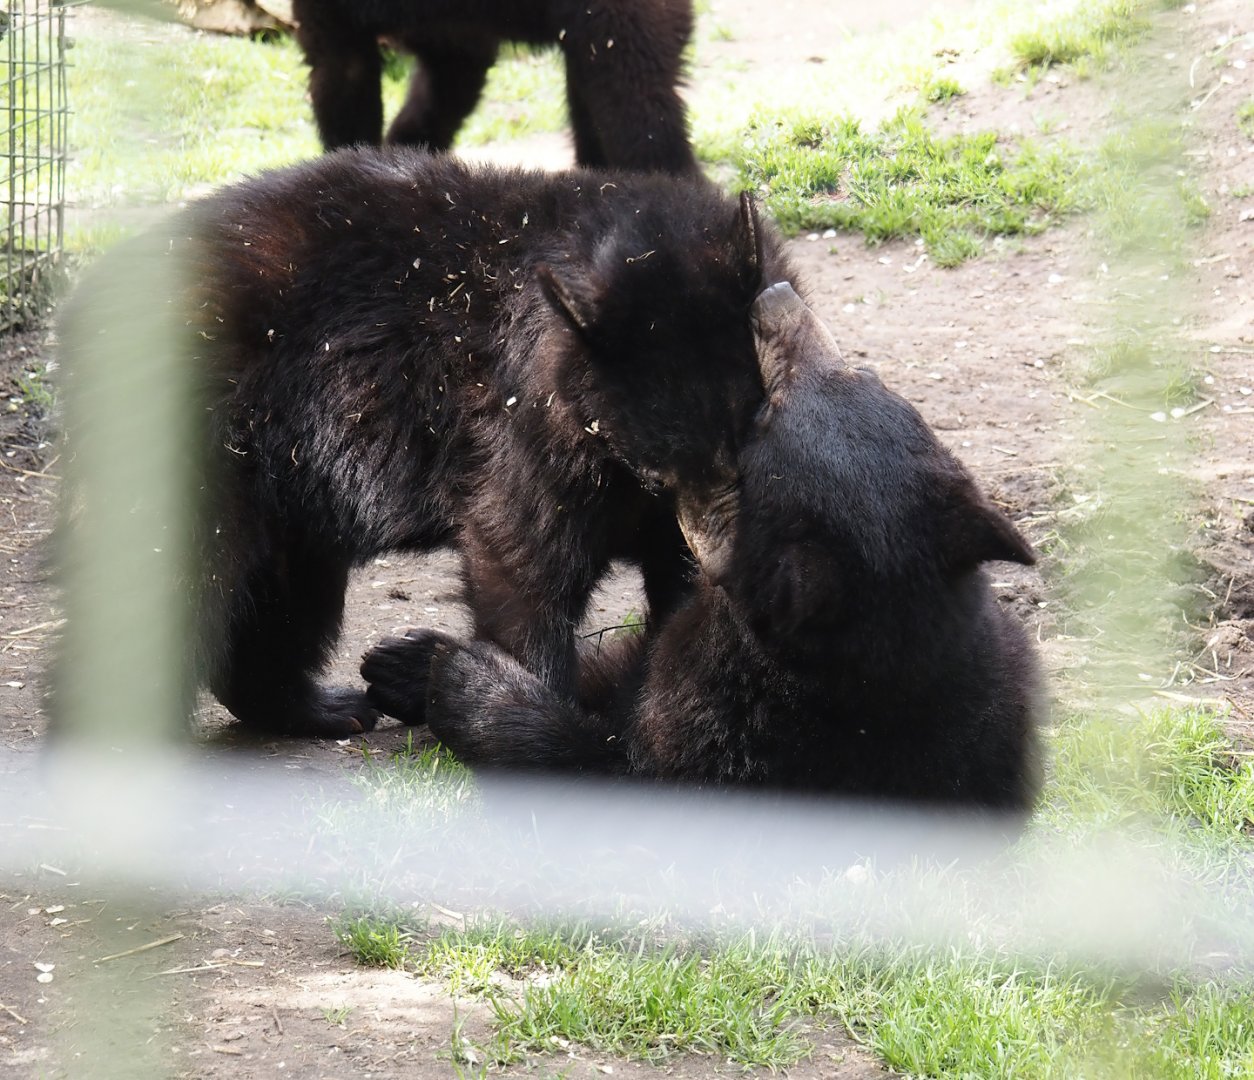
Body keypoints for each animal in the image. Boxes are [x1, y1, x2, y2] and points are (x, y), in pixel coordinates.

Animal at [57, 147, 787, 739]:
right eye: (655, 466)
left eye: (747, 436)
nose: (730, 561)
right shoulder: (530, 420)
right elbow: (522, 550)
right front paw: (519, 702)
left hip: (285, 482)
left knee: (285, 595)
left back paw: (319, 708)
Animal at [362, 283, 1042, 815]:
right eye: (864, 373)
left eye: (764, 416)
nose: (777, 297)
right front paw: (404, 660)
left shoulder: (724, 734)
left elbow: (603, 757)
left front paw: (459, 677)